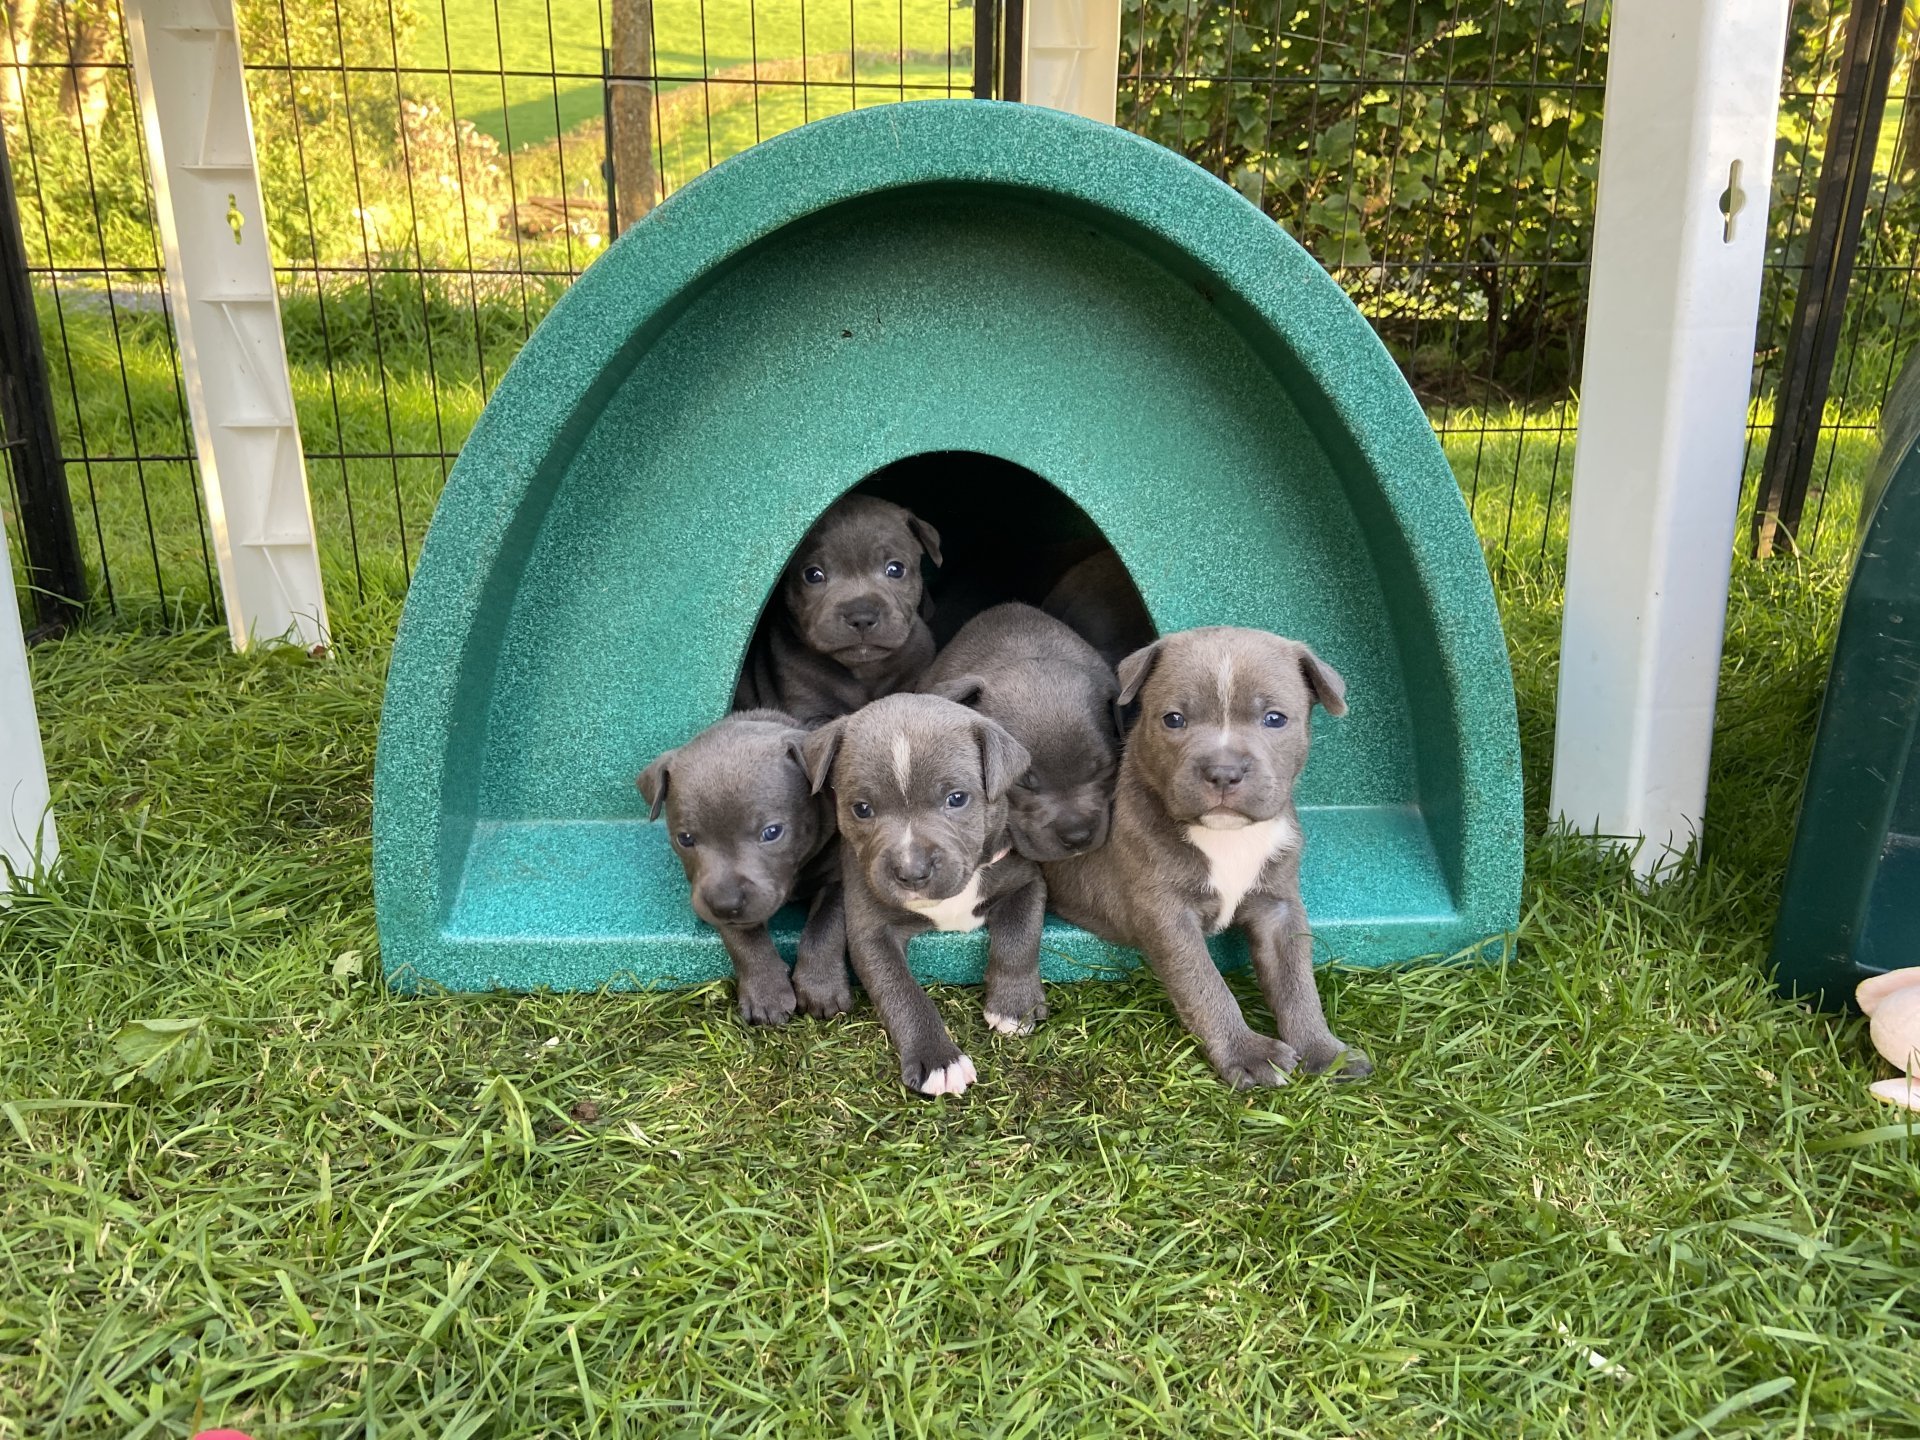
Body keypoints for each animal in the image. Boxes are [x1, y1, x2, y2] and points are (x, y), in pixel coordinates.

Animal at [641, 710, 852, 1029]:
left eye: (772, 832)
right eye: (685, 839)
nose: (725, 903)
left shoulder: (839, 877)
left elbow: (826, 925)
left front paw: (821, 987)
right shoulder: (708, 892)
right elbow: (742, 938)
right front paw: (766, 992)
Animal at [798, 695, 1052, 1098]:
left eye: (957, 798)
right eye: (862, 808)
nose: (912, 871)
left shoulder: (1024, 879)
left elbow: (1020, 936)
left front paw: (1015, 1006)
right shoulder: (872, 929)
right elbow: (901, 991)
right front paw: (938, 1059)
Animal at [1036, 625, 1367, 1090]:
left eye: (1275, 719)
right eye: (1173, 719)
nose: (1224, 772)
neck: (1227, 836)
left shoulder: (1280, 905)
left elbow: (1297, 981)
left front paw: (1325, 1051)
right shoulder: (1166, 912)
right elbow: (1204, 984)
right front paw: (1248, 1053)